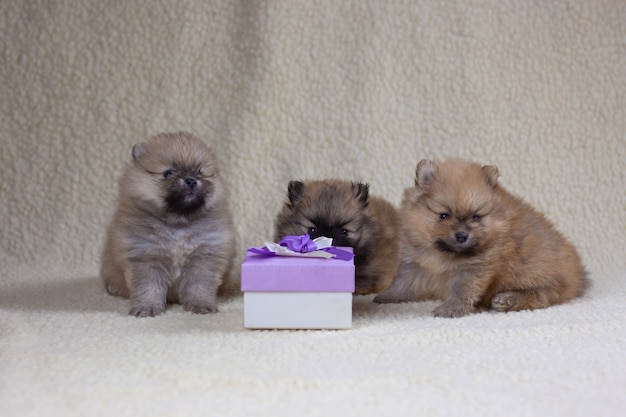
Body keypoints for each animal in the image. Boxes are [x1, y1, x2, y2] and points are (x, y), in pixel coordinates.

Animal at [101, 132, 235, 316]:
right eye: (168, 173)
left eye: (200, 171)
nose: (191, 180)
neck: (178, 224)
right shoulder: (145, 257)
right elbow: (148, 287)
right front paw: (146, 307)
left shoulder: (204, 257)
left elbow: (199, 286)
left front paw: (201, 305)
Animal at [372, 158, 588, 316]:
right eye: (444, 215)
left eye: (476, 217)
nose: (462, 235)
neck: (444, 253)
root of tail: (579, 274)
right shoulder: (415, 263)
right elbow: (402, 283)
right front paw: (386, 296)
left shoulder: (474, 269)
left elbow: (461, 291)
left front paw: (450, 309)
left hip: (542, 275)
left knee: (541, 295)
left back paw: (507, 299)